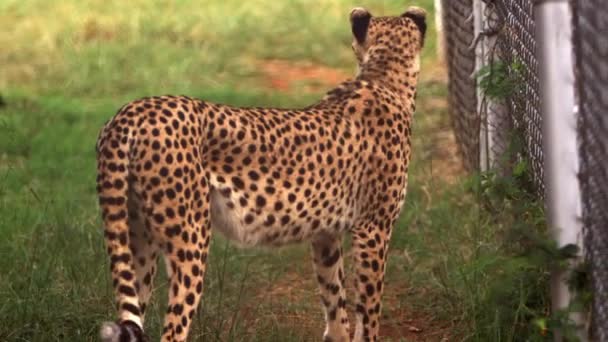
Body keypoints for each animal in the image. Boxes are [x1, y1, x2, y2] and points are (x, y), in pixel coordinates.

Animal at [96, 6, 428, 342]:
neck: (385, 77)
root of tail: (133, 111)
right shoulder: (373, 229)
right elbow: (369, 310)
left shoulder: (325, 235)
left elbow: (335, 300)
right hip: (190, 239)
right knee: (173, 329)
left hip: (137, 239)